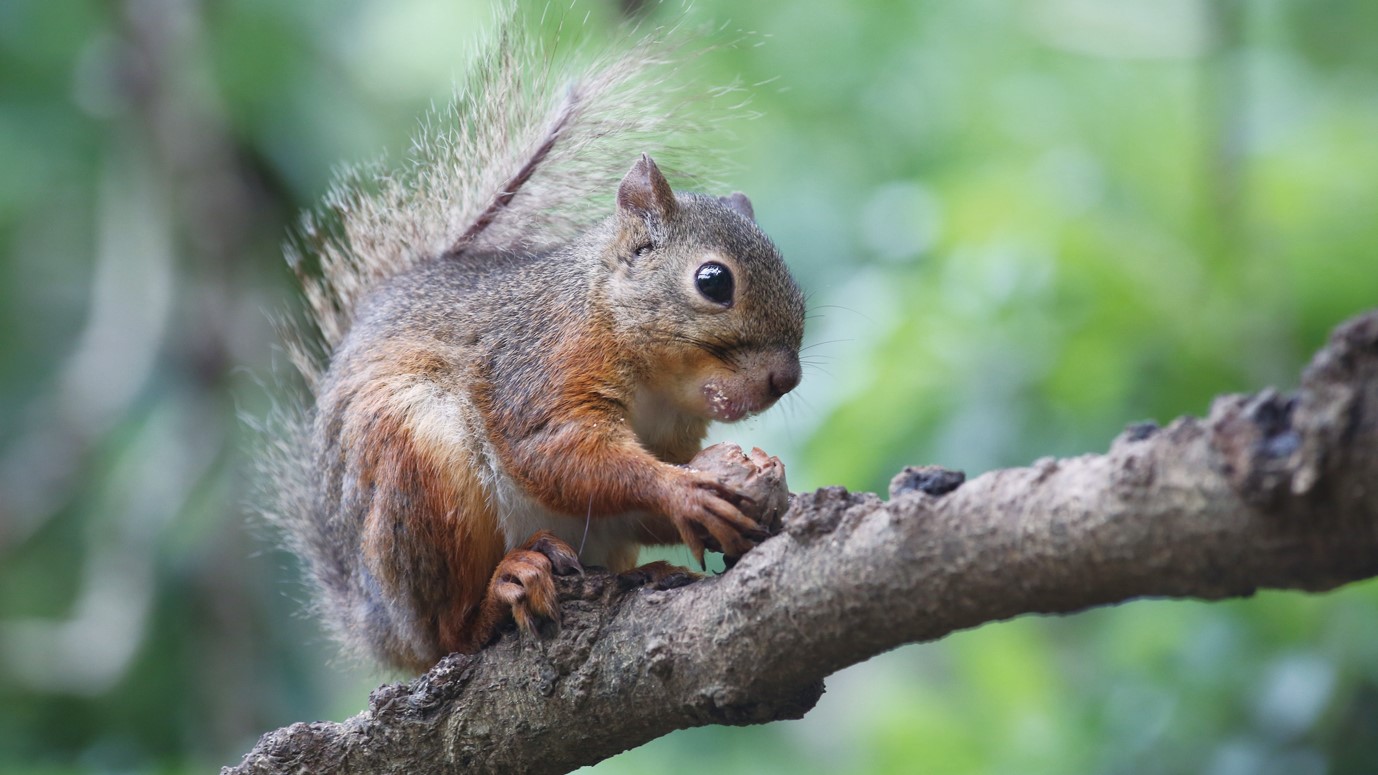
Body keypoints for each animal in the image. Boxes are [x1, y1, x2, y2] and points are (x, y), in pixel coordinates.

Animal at [256, 7, 804, 670]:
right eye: (713, 281)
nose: (787, 378)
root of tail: (379, 625)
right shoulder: (539, 361)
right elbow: (555, 452)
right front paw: (685, 491)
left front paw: (756, 476)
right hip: (419, 465)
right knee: (447, 631)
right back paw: (501, 589)